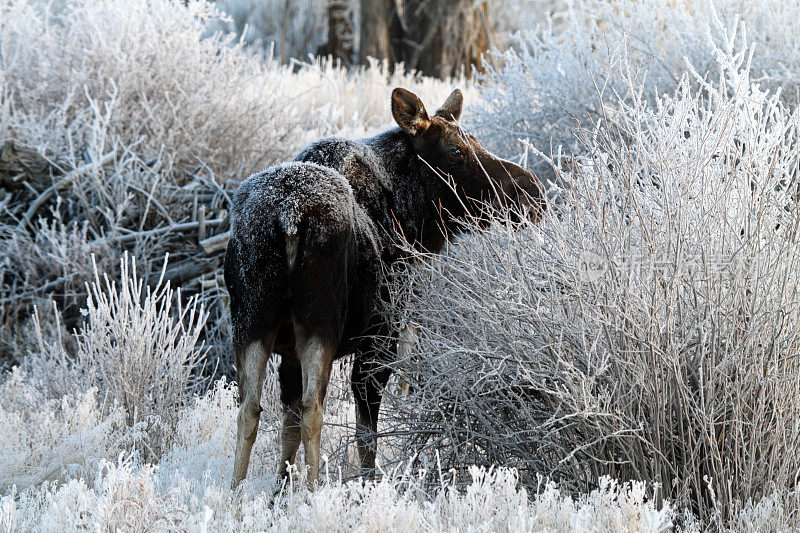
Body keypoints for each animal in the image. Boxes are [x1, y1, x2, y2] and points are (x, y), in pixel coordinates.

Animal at [225, 86, 552, 486]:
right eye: (457, 151)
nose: (532, 192)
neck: (413, 222)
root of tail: (288, 216)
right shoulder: (380, 338)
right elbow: (367, 436)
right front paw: (366, 484)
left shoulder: (287, 350)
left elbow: (286, 430)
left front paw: (279, 491)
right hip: (320, 323)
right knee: (312, 408)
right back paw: (314, 491)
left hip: (250, 323)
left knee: (250, 409)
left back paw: (236, 495)